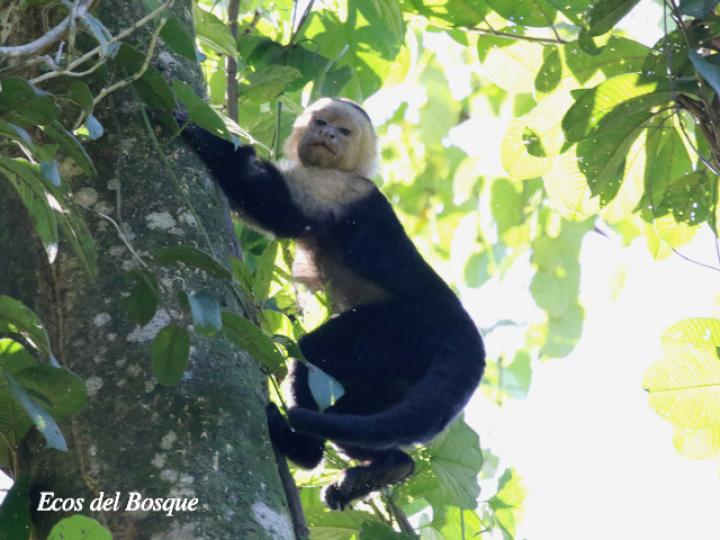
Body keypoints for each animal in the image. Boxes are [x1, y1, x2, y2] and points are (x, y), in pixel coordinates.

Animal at [176, 98, 485, 510]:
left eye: (344, 131)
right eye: (321, 122)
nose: (328, 136)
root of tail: (460, 320)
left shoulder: (336, 187)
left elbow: (278, 208)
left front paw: (190, 126)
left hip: (402, 328)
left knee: (311, 359)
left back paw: (304, 450)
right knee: (360, 415)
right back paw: (390, 466)